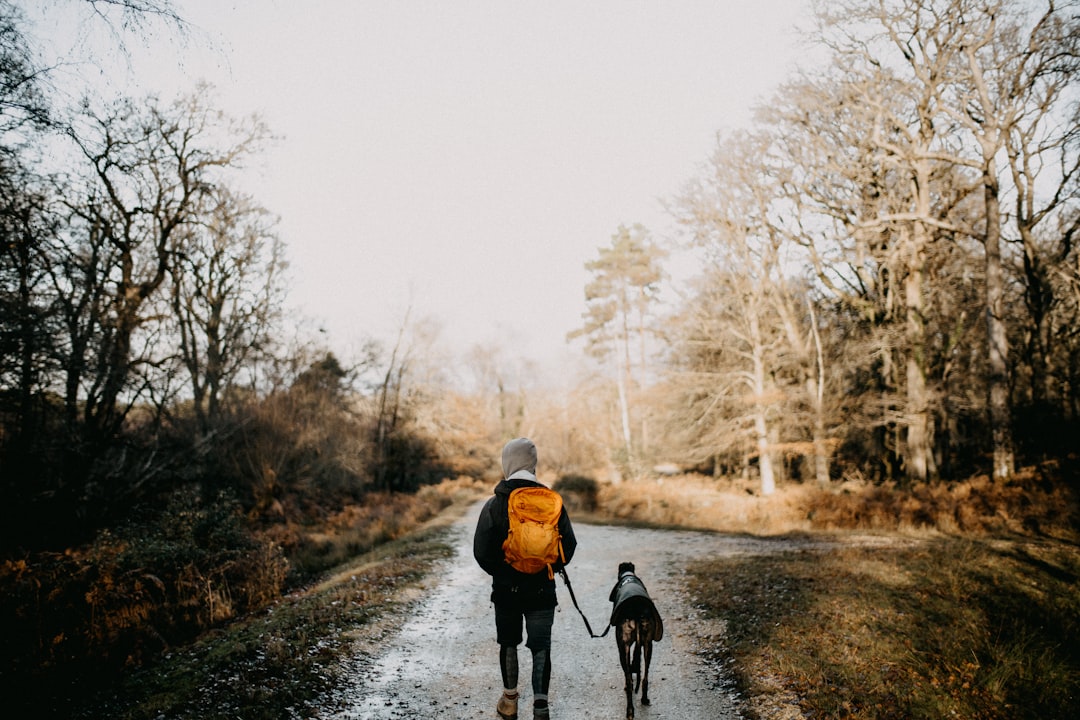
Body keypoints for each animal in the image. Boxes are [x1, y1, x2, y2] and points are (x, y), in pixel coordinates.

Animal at [613, 561, 660, 720]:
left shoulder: (624, 645)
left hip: (623, 648)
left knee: (629, 680)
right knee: (645, 676)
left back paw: (630, 711)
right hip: (648, 644)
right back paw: (644, 699)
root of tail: (636, 611)